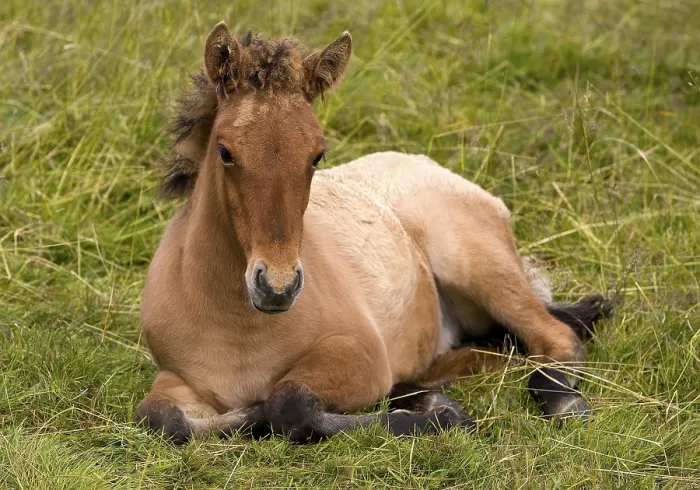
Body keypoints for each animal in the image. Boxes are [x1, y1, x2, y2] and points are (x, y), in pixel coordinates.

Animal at [135, 22, 613, 443]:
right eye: (225, 151)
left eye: (316, 155)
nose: (277, 287)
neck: (237, 325)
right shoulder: (178, 378)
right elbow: (159, 420)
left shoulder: (359, 356)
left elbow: (286, 403)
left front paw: (445, 418)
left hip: (476, 264)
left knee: (556, 338)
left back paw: (562, 404)